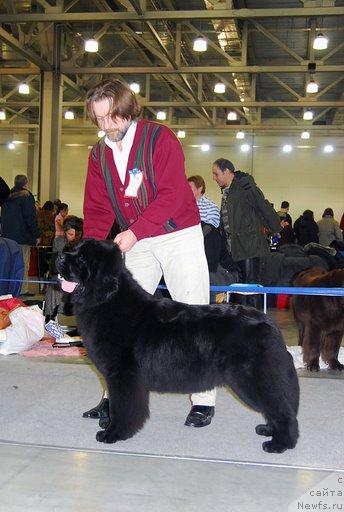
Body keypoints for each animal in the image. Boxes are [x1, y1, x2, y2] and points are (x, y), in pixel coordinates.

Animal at [55, 239, 298, 452]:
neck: (108, 298)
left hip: (251, 378)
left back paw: (280, 443)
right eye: (74, 249)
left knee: (282, 409)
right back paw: (269, 430)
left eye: (82, 258)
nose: (58, 256)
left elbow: (122, 407)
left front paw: (113, 433)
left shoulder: (123, 375)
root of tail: (268, 322)